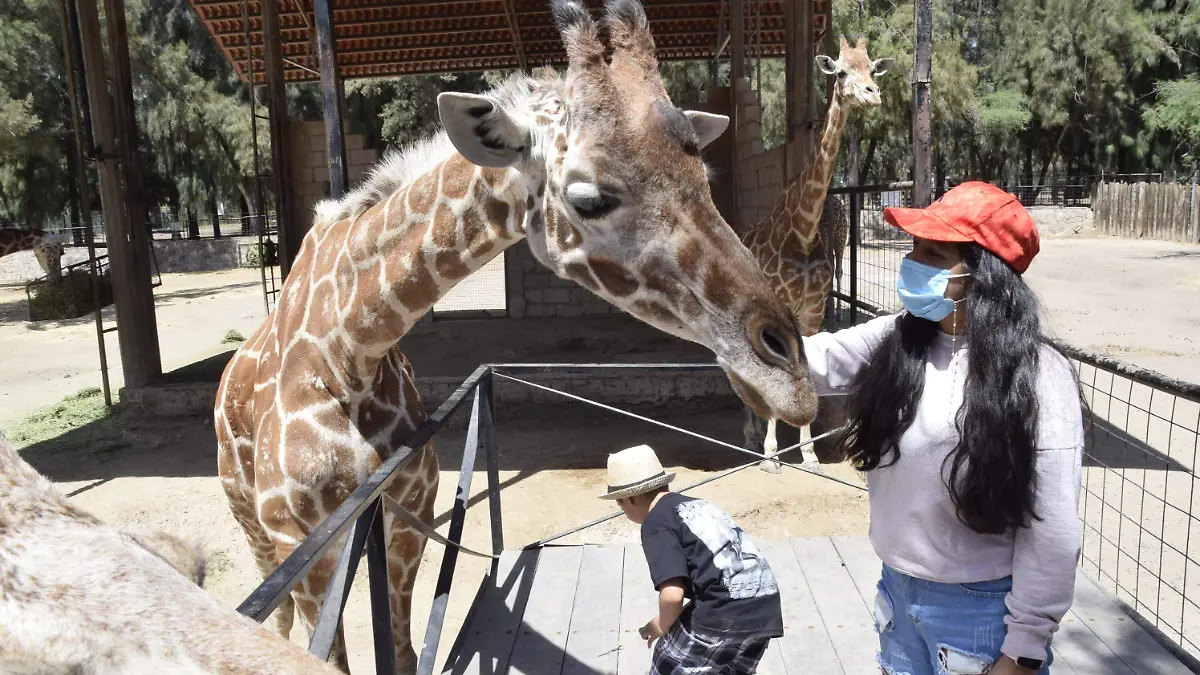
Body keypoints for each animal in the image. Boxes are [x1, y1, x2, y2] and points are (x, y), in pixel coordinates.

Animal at [214, 1, 817, 671]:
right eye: (589, 198)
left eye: (703, 176)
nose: (790, 378)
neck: (350, 347)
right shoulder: (306, 544)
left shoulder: (407, 520)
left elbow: (403, 647)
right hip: (255, 530)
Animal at [739, 36, 893, 466]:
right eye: (840, 72)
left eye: (871, 69)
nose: (873, 95)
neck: (802, 234)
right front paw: (772, 454)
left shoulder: (812, 310)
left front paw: (807, 452)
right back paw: (750, 435)